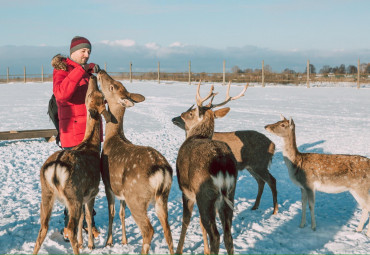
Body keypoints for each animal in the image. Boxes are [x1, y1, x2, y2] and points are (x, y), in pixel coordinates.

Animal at [33, 76, 109, 255]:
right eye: (100, 96)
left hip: (46, 192)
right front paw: (90, 245)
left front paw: (83, 243)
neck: (91, 146)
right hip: (72, 193)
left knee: (43, 228)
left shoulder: (83, 196)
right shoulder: (92, 192)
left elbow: (82, 219)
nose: (93, 76)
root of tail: (55, 169)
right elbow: (87, 218)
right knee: (70, 229)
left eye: (89, 95)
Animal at [97, 70, 175, 255]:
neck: (112, 138)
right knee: (167, 230)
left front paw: (109, 242)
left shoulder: (108, 183)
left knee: (149, 230)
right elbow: (121, 213)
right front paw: (124, 240)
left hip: (137, 197)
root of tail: (161, 171)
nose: (101, 71)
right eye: (117, 84)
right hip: (162, 197)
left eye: (112, 86)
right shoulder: (122, 192)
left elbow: (111, 212)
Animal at [173, 82, 278, 215]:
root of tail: (274, 145)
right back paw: (255, 206)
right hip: (252, 166)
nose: (174, 118)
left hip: (260, 163)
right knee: (261, 182)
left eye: (190, 113)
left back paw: (275, 210)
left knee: (272, 180)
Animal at [175, 81, 247, 253]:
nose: (178, 116)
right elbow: (200, 223)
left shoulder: (186, 191)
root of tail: (222, 165)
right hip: (230, 193)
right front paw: (205, 250)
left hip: (205, 194)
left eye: (191, 113)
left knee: (216, 235)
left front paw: (178, 250)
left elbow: (186, 220)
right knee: (228, 235)